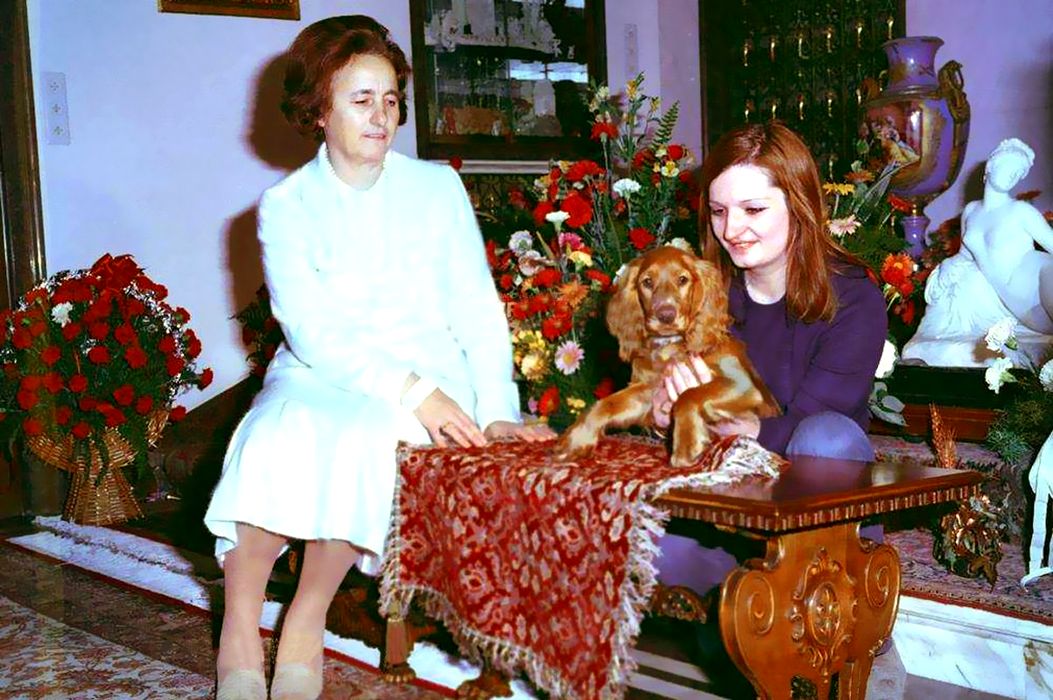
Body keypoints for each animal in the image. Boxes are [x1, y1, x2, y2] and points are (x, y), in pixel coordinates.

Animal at [553, 246, 781, 467]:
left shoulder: (742, 384)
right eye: (647, 282)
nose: (666, 315)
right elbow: (604, 404)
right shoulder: (649, 391)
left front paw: (686, 447)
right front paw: (575, 440)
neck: (670, 346)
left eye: (682, 280)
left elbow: (689, 395)